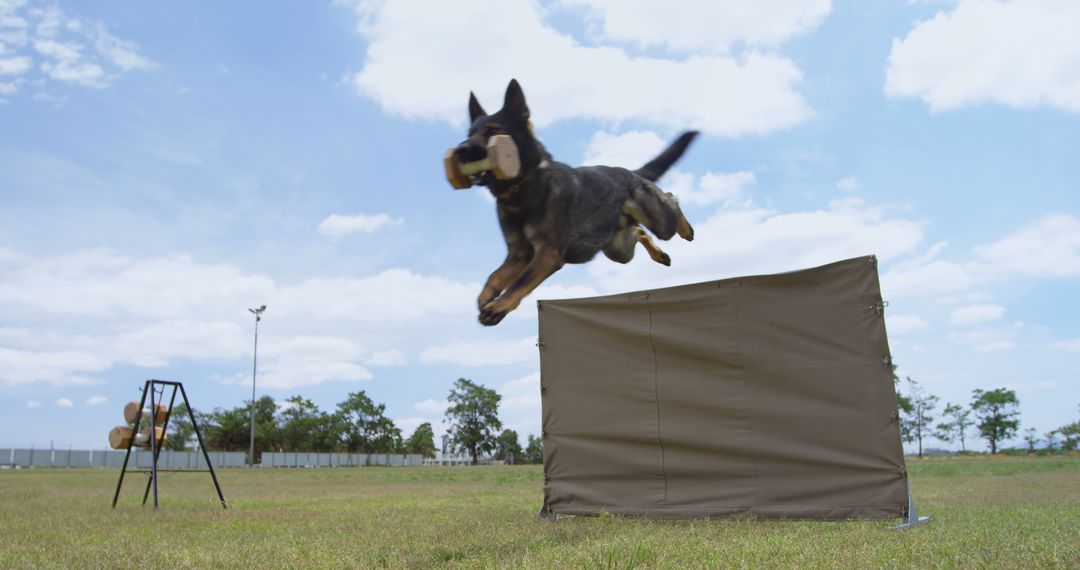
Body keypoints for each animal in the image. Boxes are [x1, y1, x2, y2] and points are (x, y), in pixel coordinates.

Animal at [457, 78, 699, 326]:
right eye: (470, 133)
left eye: (494, 131)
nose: (460, 150)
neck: (522, 187)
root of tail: (630, 173)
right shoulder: (519, 255)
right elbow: (493, 277)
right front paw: (485, 299)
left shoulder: (548, 253)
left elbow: (520, 282)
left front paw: (498, 306)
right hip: (619, 251)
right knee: (640, 231)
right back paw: (660, 254)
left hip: (660, 223)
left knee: (671, 199)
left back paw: (685, 229)